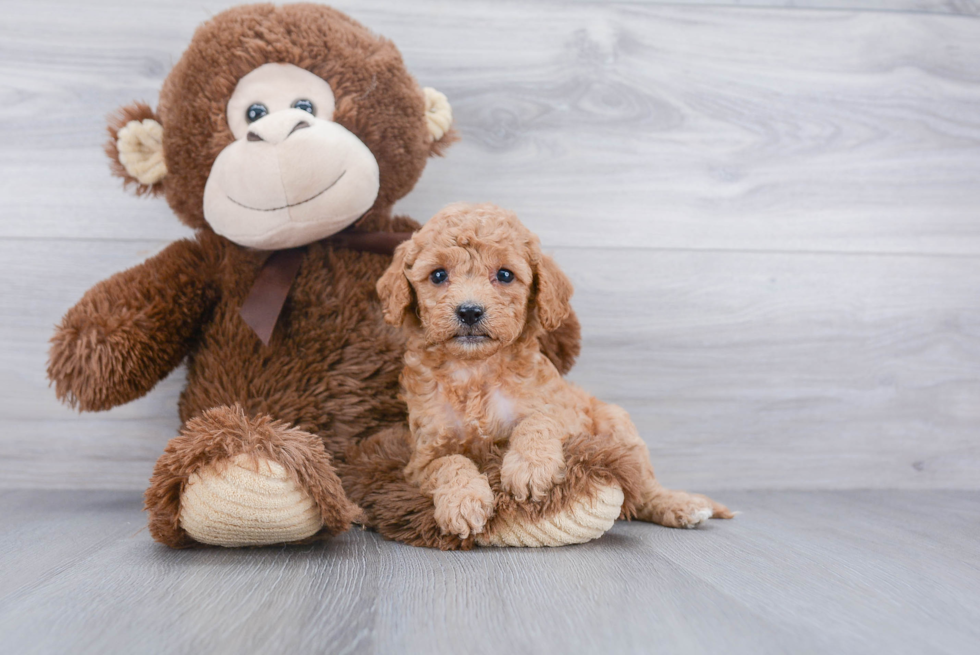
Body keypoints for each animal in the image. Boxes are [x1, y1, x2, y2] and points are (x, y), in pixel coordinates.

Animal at [378, 204, 732, 540]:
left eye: (504, 275)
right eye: (438, 275)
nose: (469, 311)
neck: (475, 368)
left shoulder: (561, 413)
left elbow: (538, 421)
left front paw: (530, 468)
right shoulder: (422, 457)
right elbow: (450, 463)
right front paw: (464, 501)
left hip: (618, 425)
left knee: (643, 487)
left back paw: (681, 505)